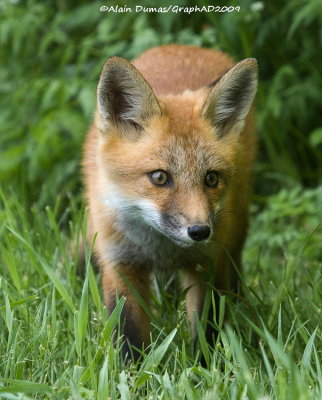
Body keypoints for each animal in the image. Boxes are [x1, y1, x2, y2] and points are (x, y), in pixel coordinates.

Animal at [82, 43, 256, 360]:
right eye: (160, 177)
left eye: (211, 178)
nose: (200, 231)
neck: (162, 249)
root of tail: (184, 47)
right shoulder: (120, 264)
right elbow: (128, 334)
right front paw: (133, 373)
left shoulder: (208, 263)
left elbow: (207, 329)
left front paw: (206, 367)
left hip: (236, 230)